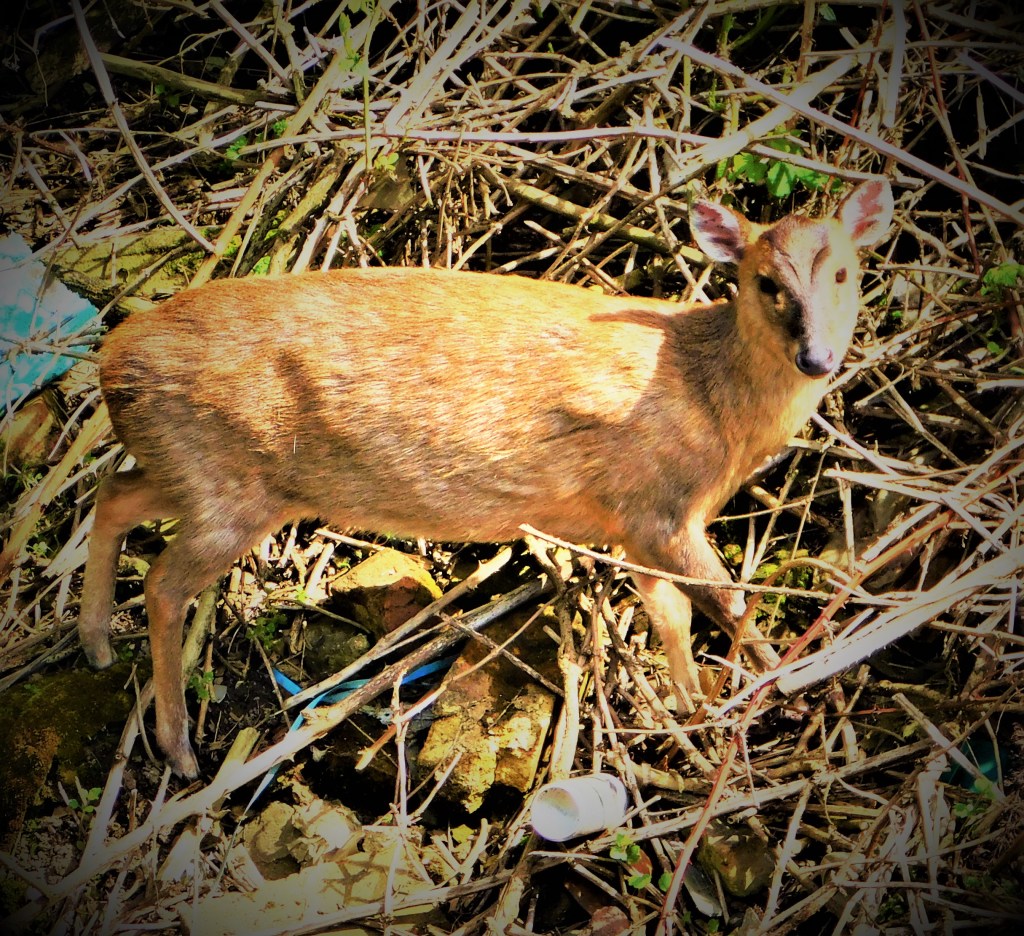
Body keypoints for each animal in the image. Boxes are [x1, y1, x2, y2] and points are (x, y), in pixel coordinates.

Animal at [78, 180, 893, 778]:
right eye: (765, 282)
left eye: (846, 272)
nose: (817, 356)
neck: (715, 403)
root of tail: (110, 362)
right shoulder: (656, 505)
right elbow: (724, 599)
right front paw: (781, 692)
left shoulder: (636, 525)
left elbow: (672, 615)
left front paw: (695, 712)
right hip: (230, 481)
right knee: (164, 581)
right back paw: (179, 749)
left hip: (199, 472)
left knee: (111, 496)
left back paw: (95, 645)